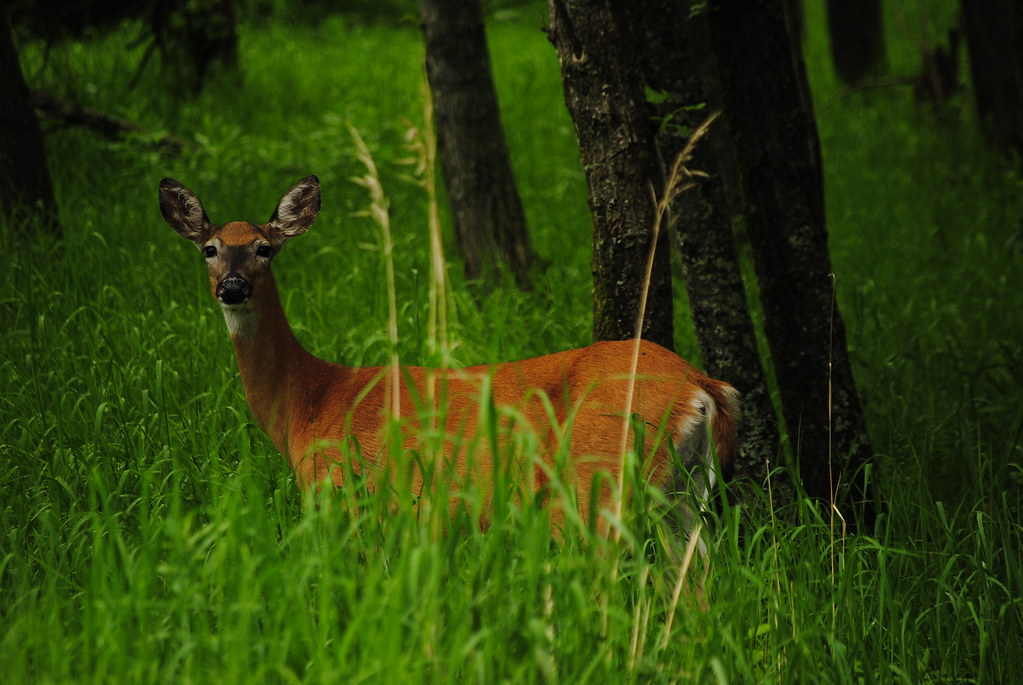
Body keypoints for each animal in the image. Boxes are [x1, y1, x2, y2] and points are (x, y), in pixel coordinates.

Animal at [159, 174, 739, 544]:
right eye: (209, 249)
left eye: (264, 248)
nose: (233, 287)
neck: (309, 404)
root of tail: (703, 386)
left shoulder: (352, 497)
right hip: (682, 495)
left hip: (600, 482)